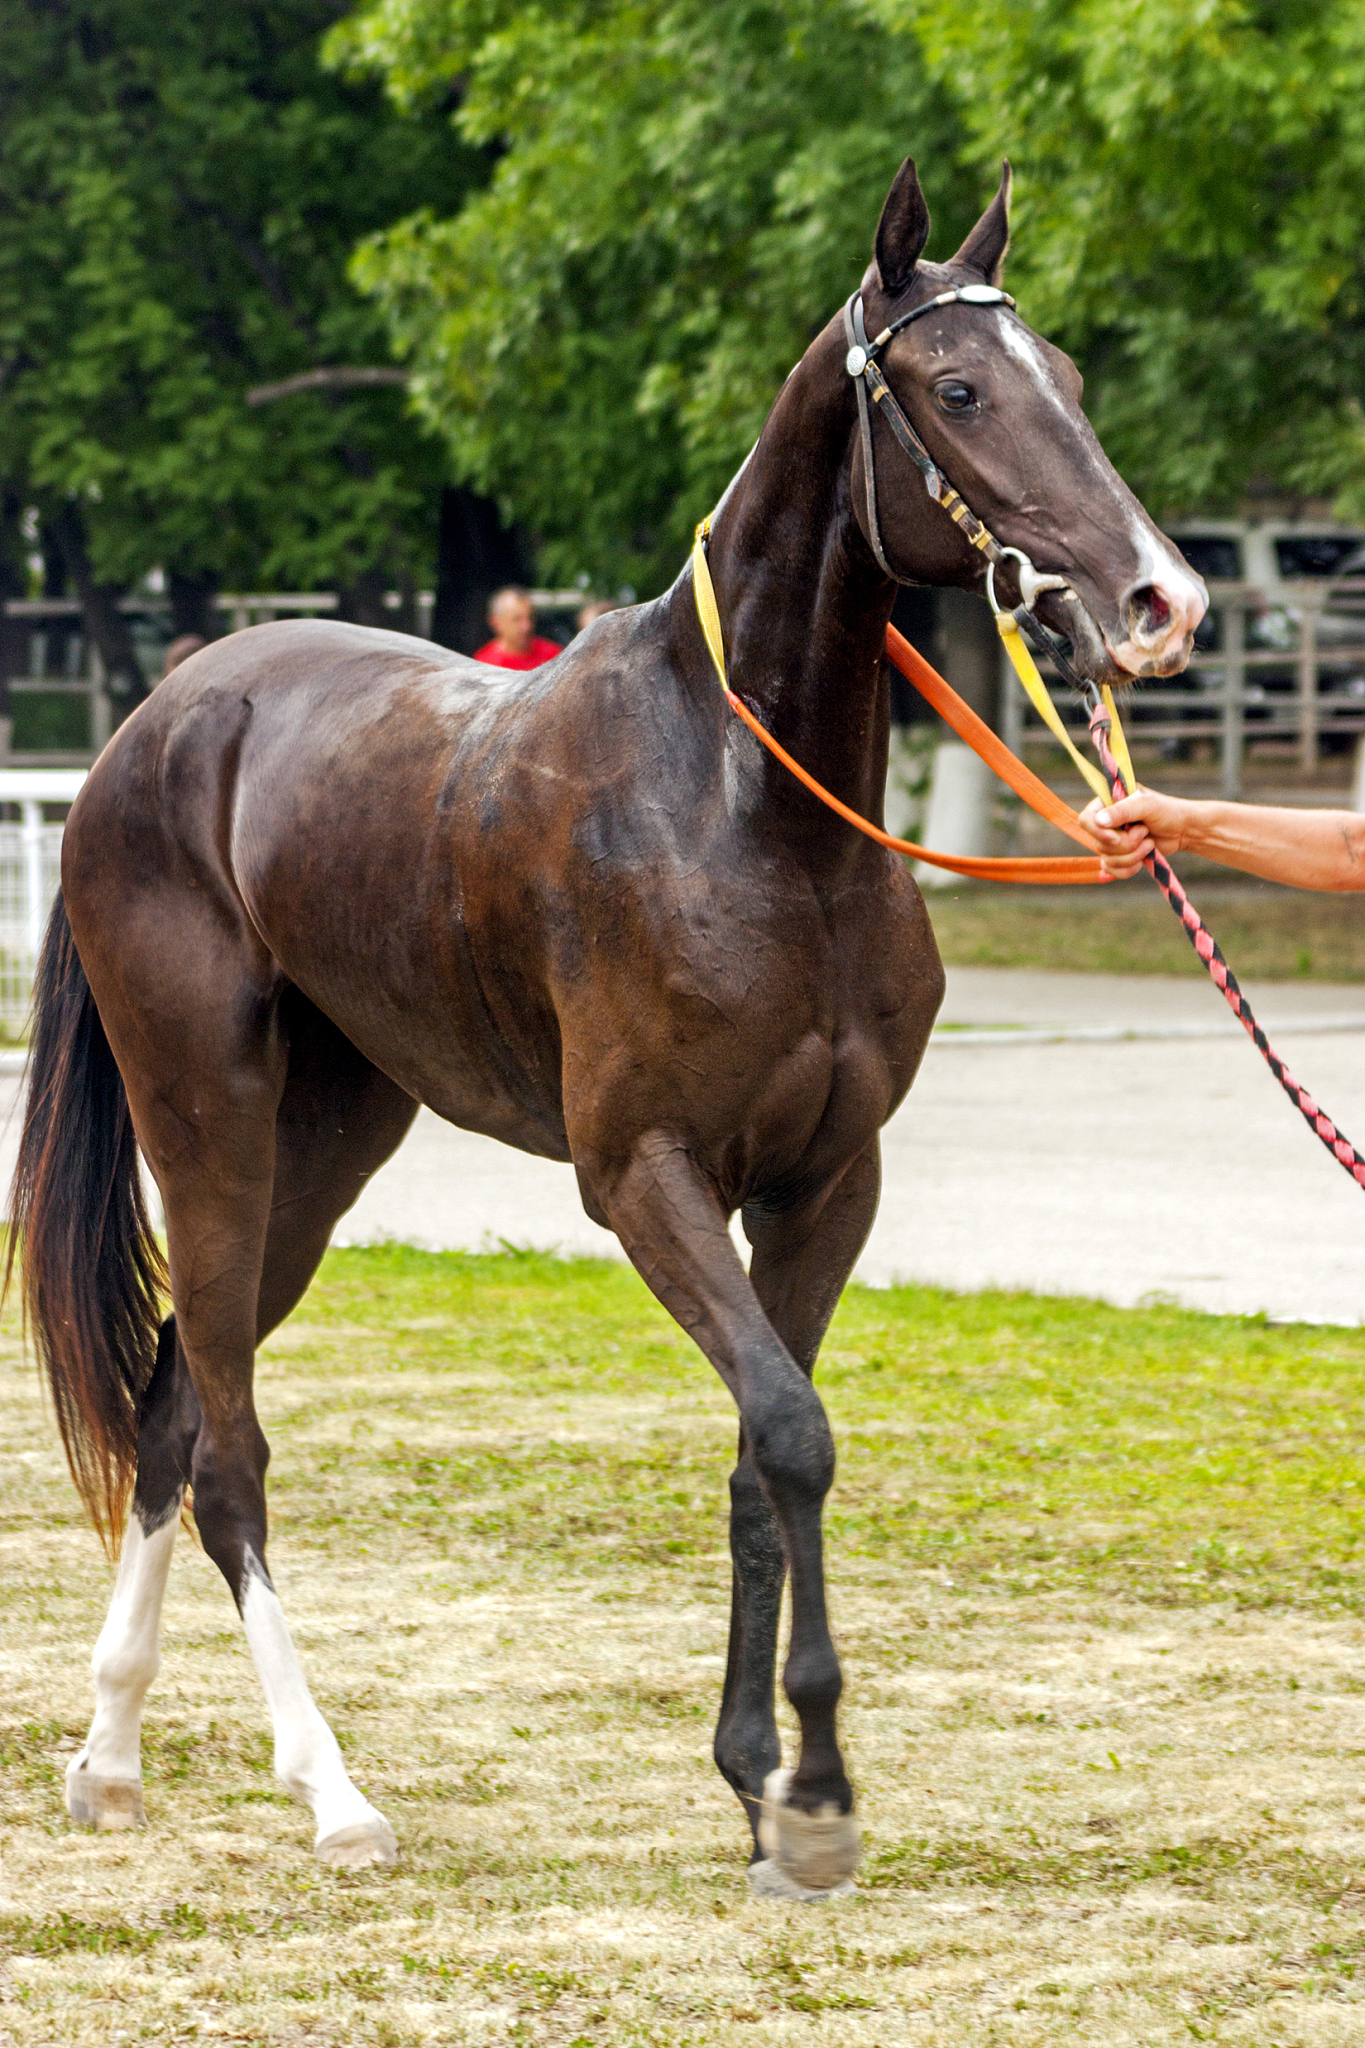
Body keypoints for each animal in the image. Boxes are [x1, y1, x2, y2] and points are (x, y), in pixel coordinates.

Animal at [9, 156, 1206, 1895]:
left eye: (1070, 378)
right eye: (961, 391)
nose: (1159, 601)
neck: (745, 803)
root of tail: (152, 729)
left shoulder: (827, 1184)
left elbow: (764, 1456)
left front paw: (760, 1782)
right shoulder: (644, 1174)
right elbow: (792, 1431)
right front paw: (813, 1793)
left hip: (328, 1144)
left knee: (172, 1408)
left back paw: (110, 1755)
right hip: (210, 1126)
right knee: (226, 1445)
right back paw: (329, 1789)